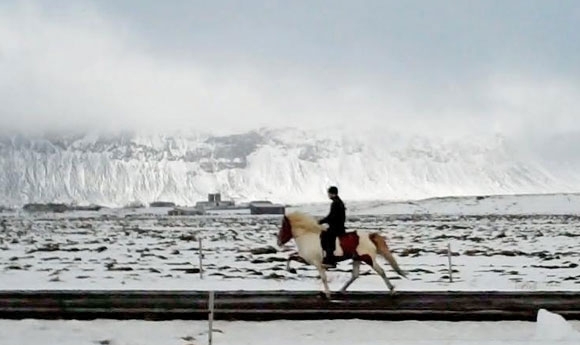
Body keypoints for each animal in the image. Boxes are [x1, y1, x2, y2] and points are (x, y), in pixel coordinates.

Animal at [278, 211, 408, 296]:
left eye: (283, 228)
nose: (278, 242)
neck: (308, 236)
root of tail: (370, 236)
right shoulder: (307, 260)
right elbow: (290, 257)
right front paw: (291, 270)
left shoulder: (316, 263)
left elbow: (323, 277)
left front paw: (327, 293)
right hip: (357, 259)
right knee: (355, 275)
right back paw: (341, 290)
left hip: (368, 258)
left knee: (381, 272)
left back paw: (392, 290)